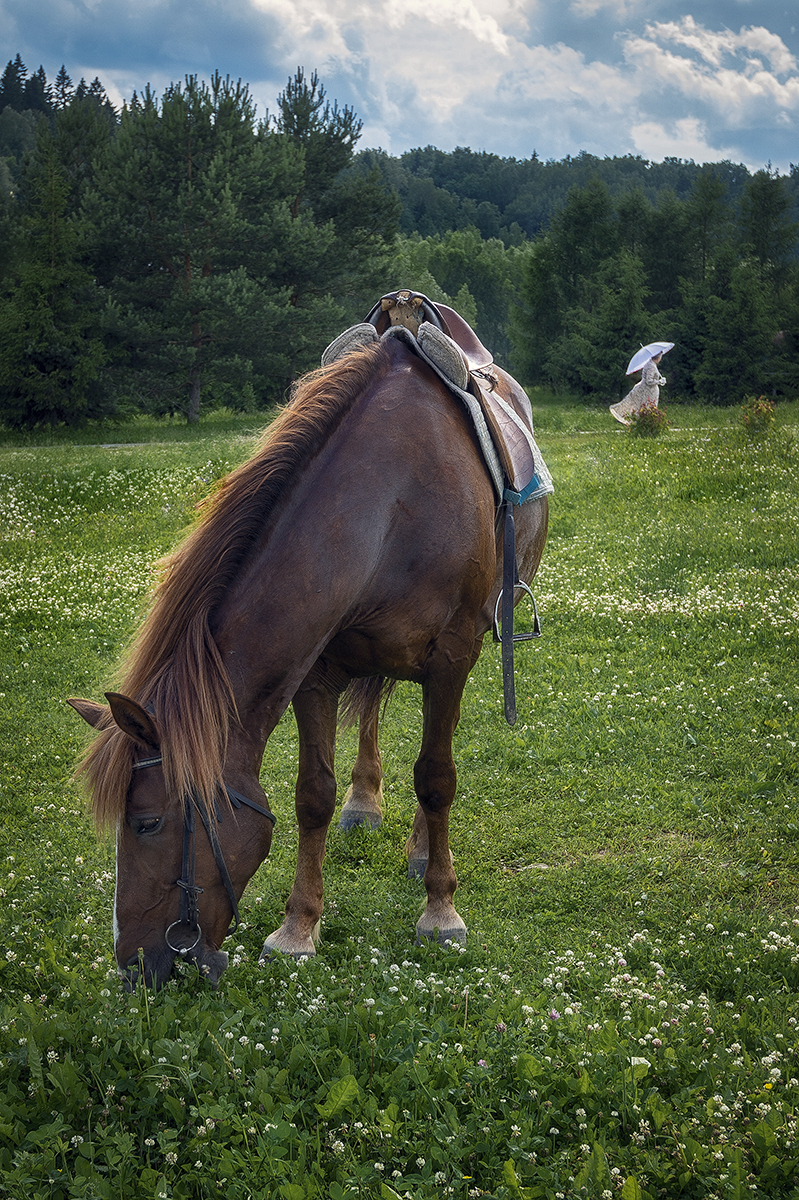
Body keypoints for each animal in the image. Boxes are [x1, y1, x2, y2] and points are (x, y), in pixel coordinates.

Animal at [69, 333, 547, 988]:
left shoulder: (451, 658)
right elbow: (312, 795)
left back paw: (424, 849)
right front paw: (298, 928)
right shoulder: (316, 672)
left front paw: (440, 910)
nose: (134, 968)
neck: (394, 499)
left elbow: (436, 778)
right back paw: (365, 805)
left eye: (146, 823)